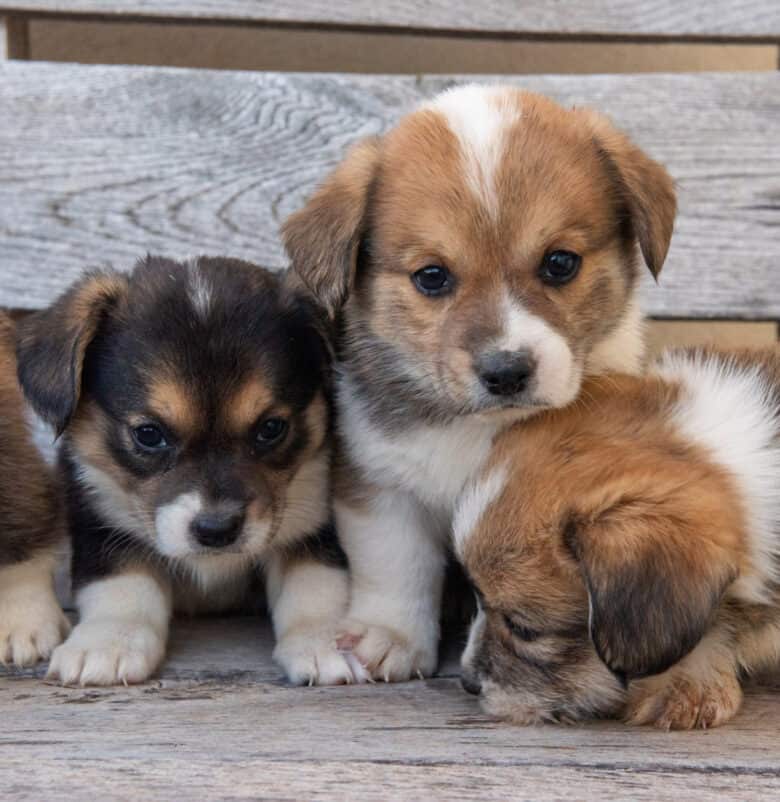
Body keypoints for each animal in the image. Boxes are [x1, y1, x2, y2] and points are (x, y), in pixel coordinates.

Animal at [15, 258, 356, 688]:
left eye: (271, 428)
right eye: (148, 434)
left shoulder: (315, 524)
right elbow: (123, 584)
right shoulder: (100, 520)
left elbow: (315, 584)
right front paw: (108, 644)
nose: (217, 531)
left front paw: (326, 641)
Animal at [282, 83, 676, 680]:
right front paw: (392, 637)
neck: (482, 428)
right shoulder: (380, 486)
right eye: (431, 277)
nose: (506, 371)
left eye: (560, 263)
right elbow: (396, 567)